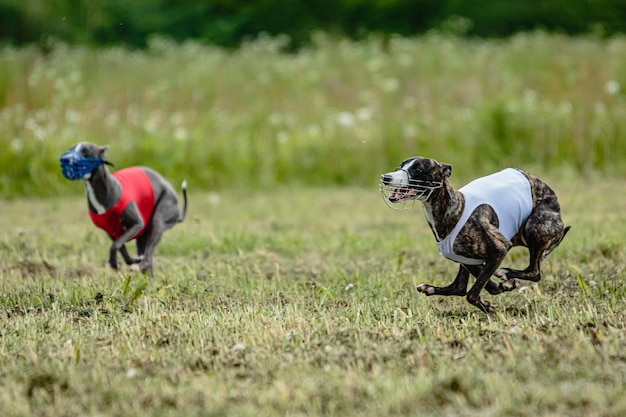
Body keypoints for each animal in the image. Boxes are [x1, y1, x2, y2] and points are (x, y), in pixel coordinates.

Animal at [59, 142, 186, 276]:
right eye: (70, 149)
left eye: (86, 151)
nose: (65, 159)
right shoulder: (111, 231)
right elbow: (120, 248)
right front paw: (127, 261)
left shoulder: (136, 225)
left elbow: (115, 245)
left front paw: (116, 263)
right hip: (143, 235)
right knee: (147, 257)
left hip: (159, 219)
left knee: (148, 253)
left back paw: (139, 266)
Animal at [378, 157, 568, 312]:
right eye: (401, 165)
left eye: (418, 169)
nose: (386, 177)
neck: (455, 208)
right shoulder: (468, 260)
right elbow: (481, 287)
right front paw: (499, 292)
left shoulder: (500, 248)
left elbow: (473, 293)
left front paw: (490, 305)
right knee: (459, 286)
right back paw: (430, 288)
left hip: (534, 227)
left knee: (535, 272)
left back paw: (505, 272)